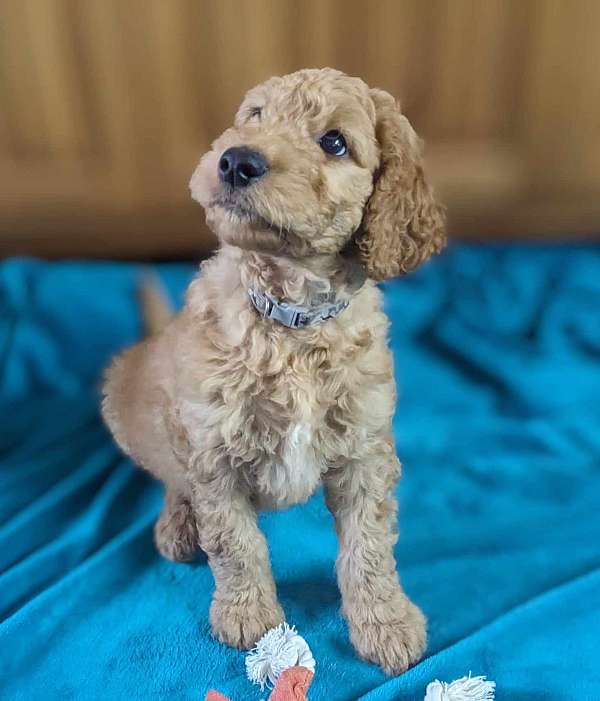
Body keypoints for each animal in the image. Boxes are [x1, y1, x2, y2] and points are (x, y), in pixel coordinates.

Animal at [104, 67, 446, 672]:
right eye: (255, 116)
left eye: (335, 142)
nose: (236, 160)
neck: (292, 322)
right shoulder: (212, 454)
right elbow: (234, 543)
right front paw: (248, 616)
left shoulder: (366, 450)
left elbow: (370, 546)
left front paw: (385, 620)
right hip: (128, 399)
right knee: (169, 473)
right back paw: (177, 524)